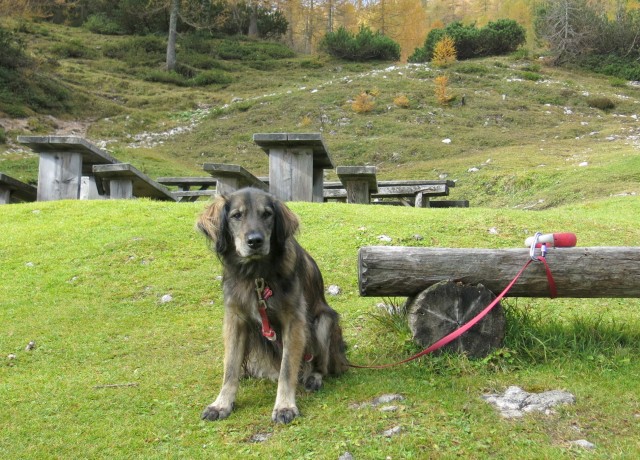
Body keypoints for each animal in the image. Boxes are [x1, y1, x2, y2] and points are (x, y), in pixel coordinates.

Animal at [198, 187, 350, 424]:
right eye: (236, 215)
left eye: (267, 214)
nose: (255, 241)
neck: (257, 276)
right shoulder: (235, 319)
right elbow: (230, 367)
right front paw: (221, 403)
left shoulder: (294, 321)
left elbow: (287, 369)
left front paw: (285, 406)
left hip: (324, 321)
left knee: (320, 365)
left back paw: (313, 377)